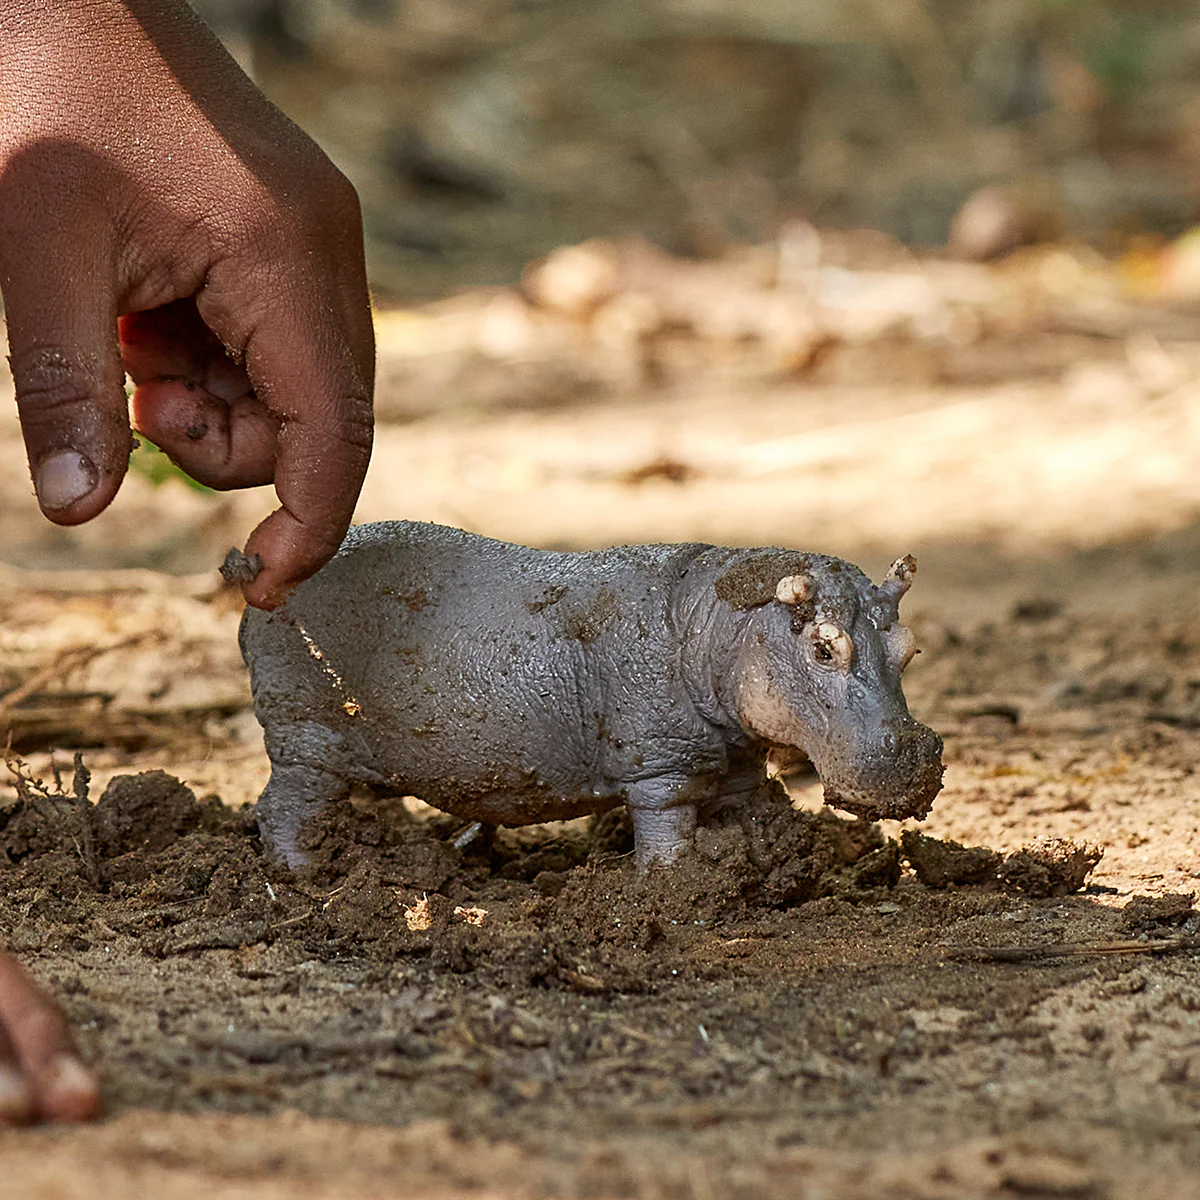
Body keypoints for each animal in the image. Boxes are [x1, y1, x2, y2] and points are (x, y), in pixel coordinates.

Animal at [239, 521, 943, 870]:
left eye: (910, 647)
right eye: (824, 647)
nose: (913, 754)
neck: (725, 620)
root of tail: (255, 583)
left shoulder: (736, 756)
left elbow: (750, 809)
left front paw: (768, 865)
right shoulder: (662, 765)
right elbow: (667, 832)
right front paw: (672, 889)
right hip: (308, 737)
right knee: (282, 808)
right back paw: (305, 875)